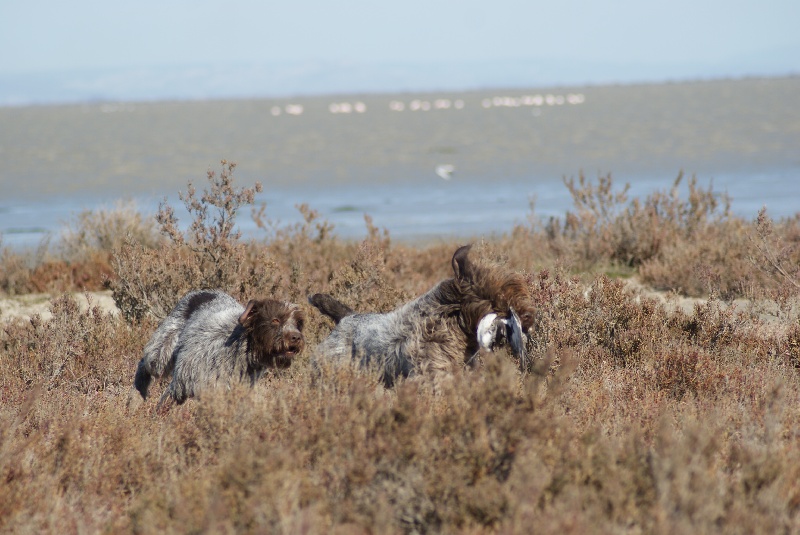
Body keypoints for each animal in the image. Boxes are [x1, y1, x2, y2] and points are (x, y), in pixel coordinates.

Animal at [133, 292, 304, 408]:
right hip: (161, 353)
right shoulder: (180, 386)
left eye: (297, 323)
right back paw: (135, 399)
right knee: (144, 365)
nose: (296, 338)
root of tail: (200, 293)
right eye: (275, 320)